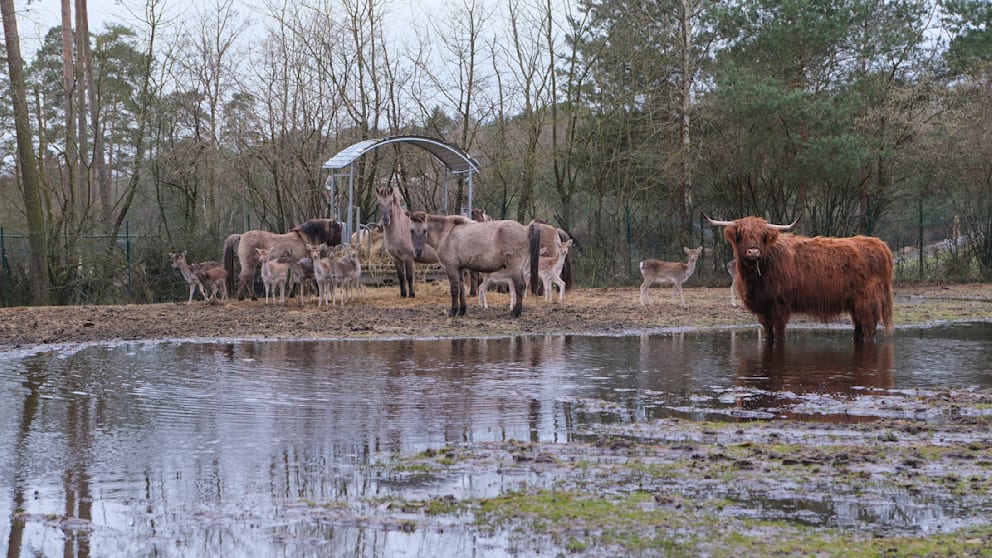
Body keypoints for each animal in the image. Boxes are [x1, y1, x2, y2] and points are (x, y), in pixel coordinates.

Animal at [406, 212, 540, 320]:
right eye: (411, 230)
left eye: (424, 230)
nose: (418, 252)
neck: (447, 233)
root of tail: (525, 229)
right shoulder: (459, 269)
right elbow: (462, 289)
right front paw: (462, 311)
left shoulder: (451, 268)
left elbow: (454, 290)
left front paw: (453, 311)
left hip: (515, 268)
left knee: (520, 287)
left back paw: (516, 313)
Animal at [700, 215, 896, 344]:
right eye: (741, 234)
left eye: (763, 236)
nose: (753, 252)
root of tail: (879, 244)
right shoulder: (763, 309)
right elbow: (768, 333)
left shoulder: (779, 305)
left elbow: (779, 333)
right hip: (856, 304)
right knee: (859, 329)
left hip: (867, 302)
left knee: (869, 329)